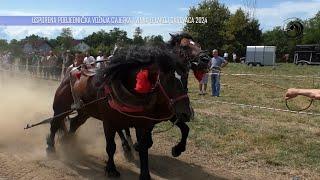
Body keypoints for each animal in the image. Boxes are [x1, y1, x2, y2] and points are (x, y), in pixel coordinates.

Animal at [47, 45, 192, 179]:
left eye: (186, 78)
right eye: (169, 79)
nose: (187, 113)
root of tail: (71, 71)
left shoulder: (143, 123)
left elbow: (145, 147)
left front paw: (145, 173)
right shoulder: (109, 123)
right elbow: (111, 147)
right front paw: (111, 169)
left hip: (85, 112)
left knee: (74, 123)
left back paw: (68, 143)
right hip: (61, 108)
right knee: (54, 124)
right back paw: (51, 148)